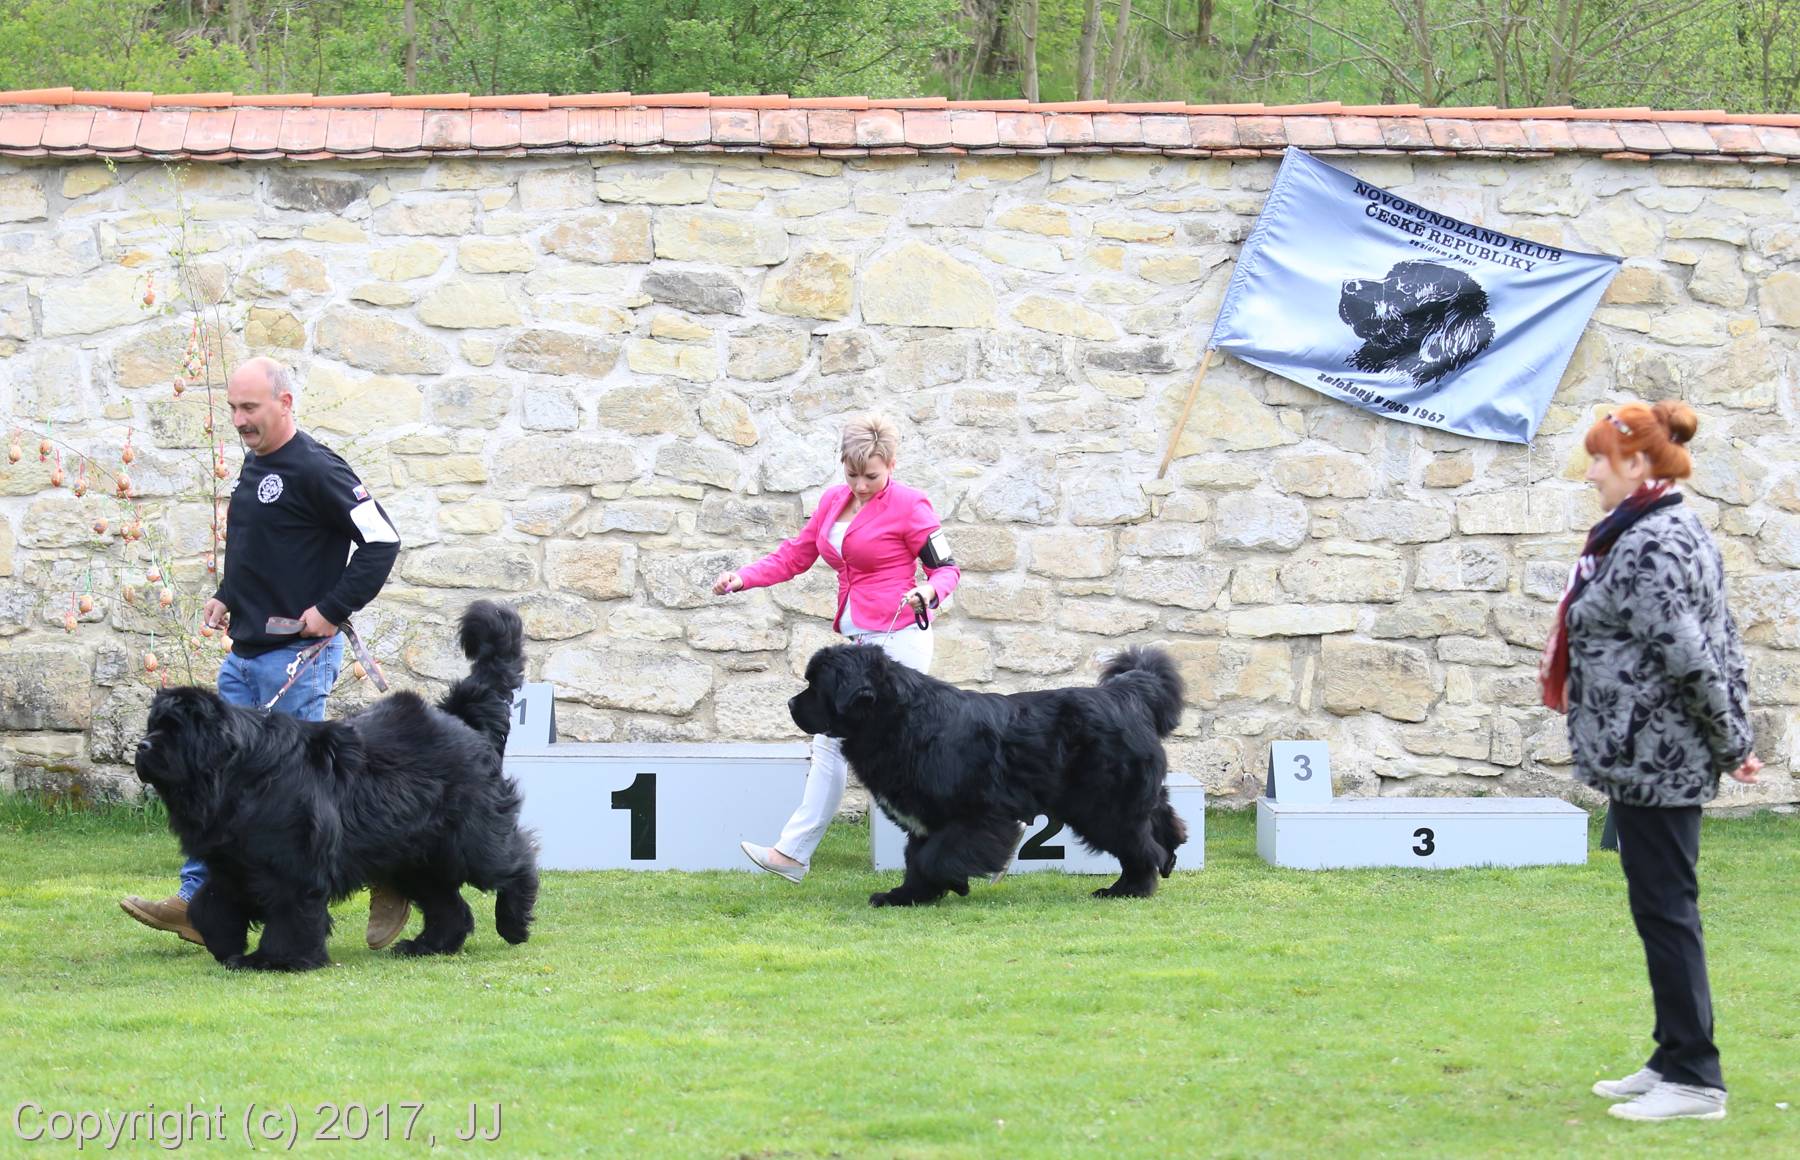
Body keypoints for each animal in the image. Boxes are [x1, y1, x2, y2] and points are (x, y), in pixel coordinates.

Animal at [133, 601, 539, 971]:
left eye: (174, 730)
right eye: (153, 726)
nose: (143, 746)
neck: (237, 774)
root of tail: (462, 718)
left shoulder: (291, 864)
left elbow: (289, 913)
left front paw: (276, 959)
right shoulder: (231, 862)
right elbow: (210, 905)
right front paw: (225, 945)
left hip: (469, 837)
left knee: (516, 862)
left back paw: (514, 923)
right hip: (413, 855)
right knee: (448, 903)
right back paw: (428, 945)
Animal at [788, 644, 1187, 906]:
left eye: (815, 685)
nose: (791, 703)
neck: (899, 719)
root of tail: (1126, 693)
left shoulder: (979, 815)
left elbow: (933, 856)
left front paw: (951, 883)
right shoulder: (926, 819)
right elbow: (916, 858)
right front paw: (906, 895)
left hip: (1102, 805)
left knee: (1139, 846)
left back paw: (1128, 889)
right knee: (1160, 822)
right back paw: (1168, 857)